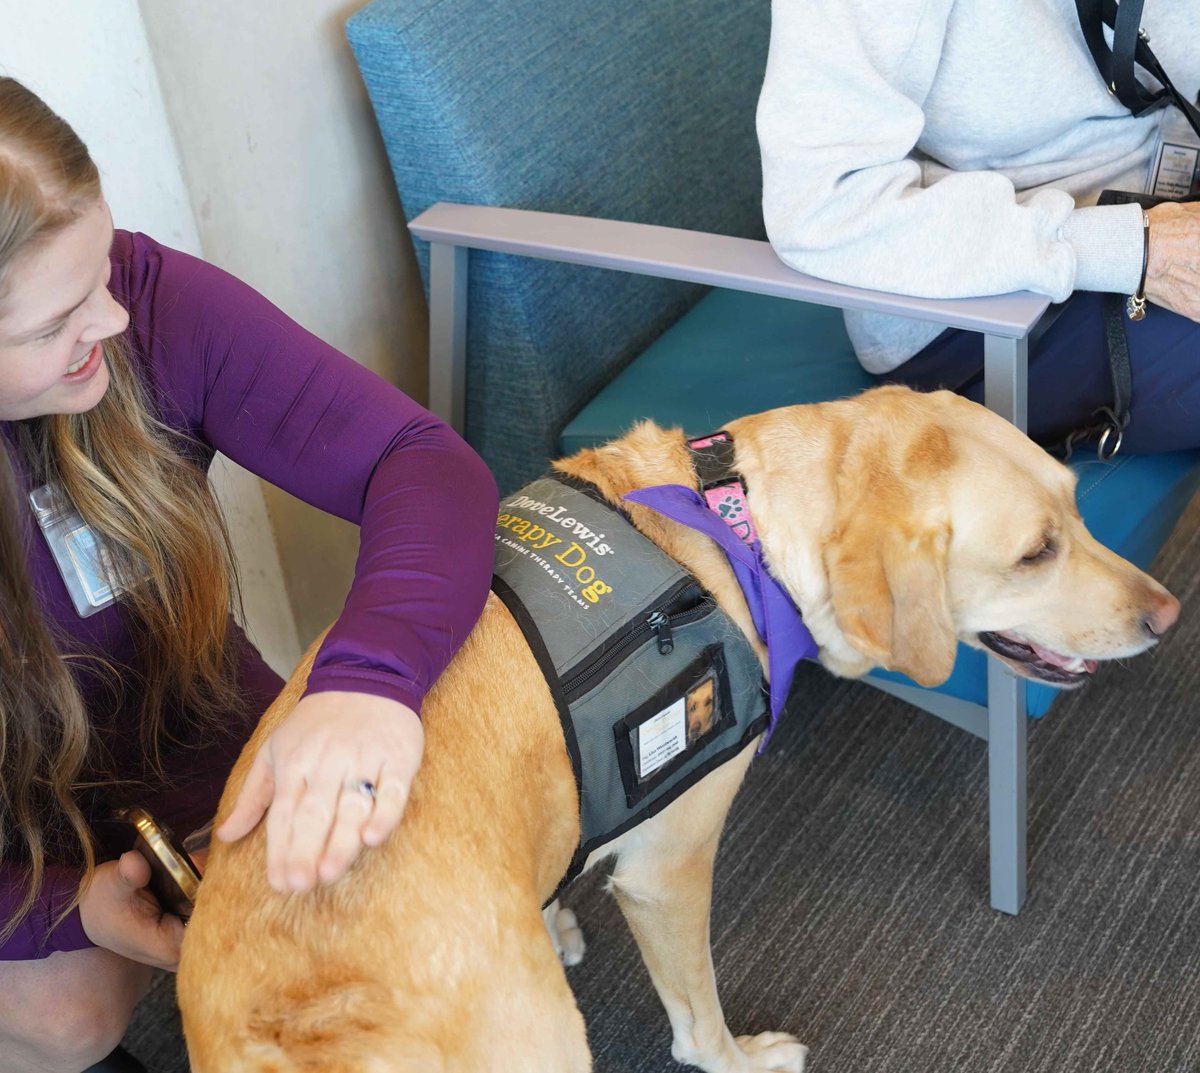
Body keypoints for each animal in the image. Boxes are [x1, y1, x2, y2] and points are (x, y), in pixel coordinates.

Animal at [180, 391, 1180, 1073]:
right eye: (1035, 553)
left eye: (1079, 504)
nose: (1169, 615)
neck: (733, 527)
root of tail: (300, 1023)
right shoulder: (668, 867)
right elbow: (699, 1017)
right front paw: (741, 1058)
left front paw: (552, 914)